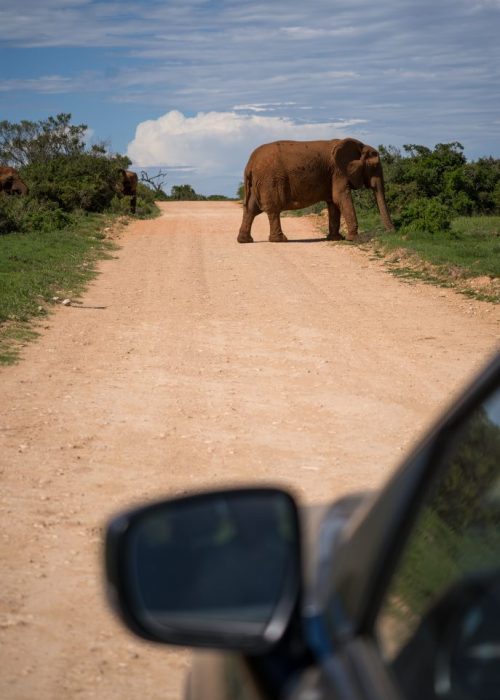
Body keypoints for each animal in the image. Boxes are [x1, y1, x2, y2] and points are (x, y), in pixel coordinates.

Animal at [237, 137, 394, 243]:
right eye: (374, 166)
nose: (391, 232)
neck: (359, 145)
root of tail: (249, 164)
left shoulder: (333, 174)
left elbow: (333, 203)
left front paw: (336, 238)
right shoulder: (339, 172)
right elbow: (340, 197)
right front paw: (355, 239)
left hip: (258, 183)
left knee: (250, 209)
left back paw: (245, 240)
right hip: (270, 181)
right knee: (273, 210)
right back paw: (280, 240)